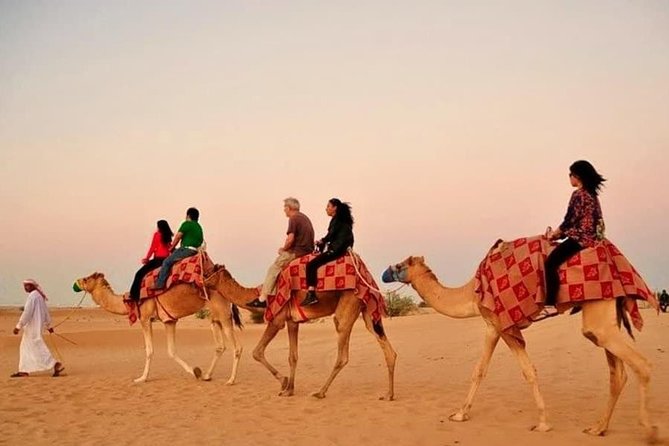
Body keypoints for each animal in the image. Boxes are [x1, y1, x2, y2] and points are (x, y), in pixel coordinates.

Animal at [73, 272, 243, 384]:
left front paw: (141, 378)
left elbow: (149, 350)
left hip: (223, 315)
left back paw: (231, 380)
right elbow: (171, 351)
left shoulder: (145, 318)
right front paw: (196, 372)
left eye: (86, 278)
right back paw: (208, 375)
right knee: (220, 346)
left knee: (237, 347)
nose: (76, 282)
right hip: (214, 318)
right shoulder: (169, 321)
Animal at [204, 264, 397, 400]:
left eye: (207, 272)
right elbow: (293, 356)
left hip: (348, 306)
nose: (201, 281)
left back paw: (320, 392)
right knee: (389, 350)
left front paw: (283, 382)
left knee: (342, 354)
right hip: (367, 312)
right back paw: (389, 395)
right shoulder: (292, 321)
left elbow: (257, 352)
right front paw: (289, 389)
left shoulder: (277, 319)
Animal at [382, 256, 658, 442]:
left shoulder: (498, 325)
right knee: (618, 373)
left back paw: (650, 431)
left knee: (642, 364)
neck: (471, 292)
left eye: (400, 265)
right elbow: (498, 370)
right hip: (604, 319)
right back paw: (598, 428)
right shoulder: (497, 327)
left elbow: (511, 370)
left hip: (600, 318)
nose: (384, 273)